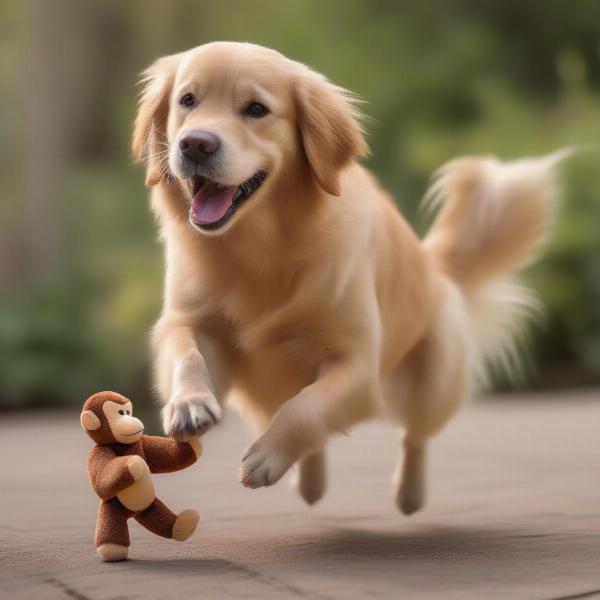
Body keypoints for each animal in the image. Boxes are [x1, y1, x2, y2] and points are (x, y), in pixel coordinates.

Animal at [131, 41, 564, 510]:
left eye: (256, 109)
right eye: (187, 101)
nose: (195, 144)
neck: (258, 250)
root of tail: (434, 267)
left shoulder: (356, 364)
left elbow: (305, 408)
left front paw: (267, 456)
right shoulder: (189, 321)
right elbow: (185, 352)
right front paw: (189, 405)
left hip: (435, 379)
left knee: (415, 436)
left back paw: (408, 493)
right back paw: (310, 483)